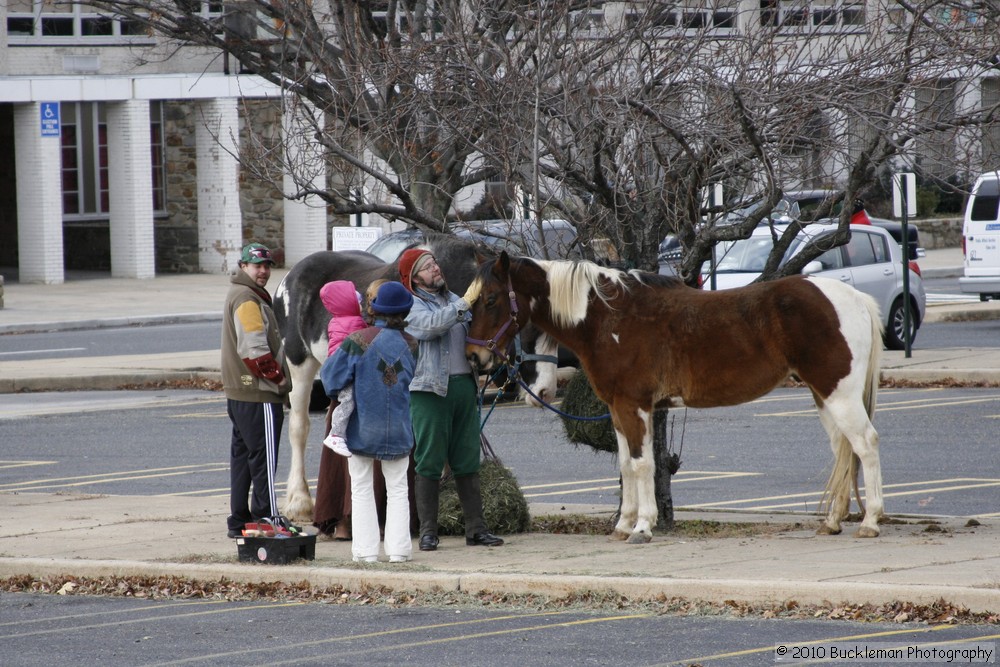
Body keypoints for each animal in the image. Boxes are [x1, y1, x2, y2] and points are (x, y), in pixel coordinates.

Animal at [270, 235, 560, 520]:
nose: (546, 391)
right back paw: (299, 501)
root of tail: (289, 278)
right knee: (299, 427)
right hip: (299, 365)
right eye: (529, 328)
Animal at [464, 254, 888, 544]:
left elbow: (641, 465)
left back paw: (870, 522)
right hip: (824, 395)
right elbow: (626, 464)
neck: (609, 318)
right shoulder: (619, 410)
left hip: (839, 394)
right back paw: (832, 522)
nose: (474, 357)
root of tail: (852, 296)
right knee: (843, 449)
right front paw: (623, 524)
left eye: (491, 299)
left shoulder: (633, 405)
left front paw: (642, 527)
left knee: (866, 444)